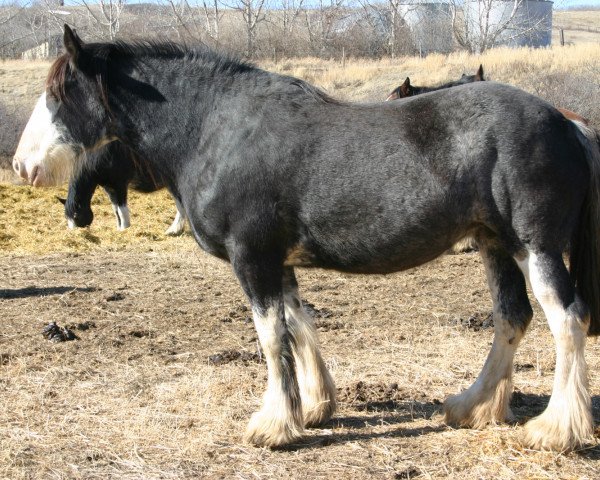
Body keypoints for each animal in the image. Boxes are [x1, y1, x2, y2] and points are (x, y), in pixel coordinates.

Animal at [11, 27, 600, 454]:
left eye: (60, 94)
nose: (22, 165)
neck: (215, 129)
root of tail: (567, 123)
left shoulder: (252, 258)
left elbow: (271, 337)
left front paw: (274, 425)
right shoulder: (279, 261)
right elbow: (299, 324)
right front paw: (315, 406)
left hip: (535, 247)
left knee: (567, 320)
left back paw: (557, 430)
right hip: (495, 244)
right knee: (512, 317)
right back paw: (473, 407)